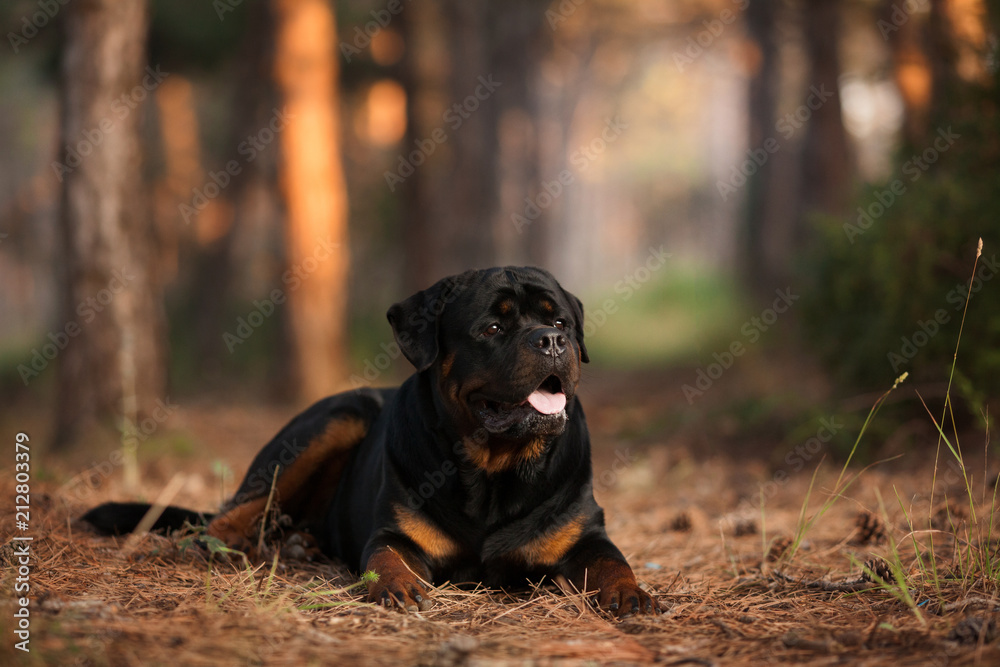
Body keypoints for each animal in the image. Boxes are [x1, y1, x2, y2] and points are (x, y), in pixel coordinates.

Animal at [84, 264, 656, 616]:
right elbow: (386, 558)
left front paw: (633, 595)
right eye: (493, 327)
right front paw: (398, 587)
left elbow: (613, 561)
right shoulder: (395, 532)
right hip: (335, 419)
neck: (494, 470)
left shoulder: (585, 534)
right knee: (230, 515)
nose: (552, 340)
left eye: (560, 319)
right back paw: (217, 549)